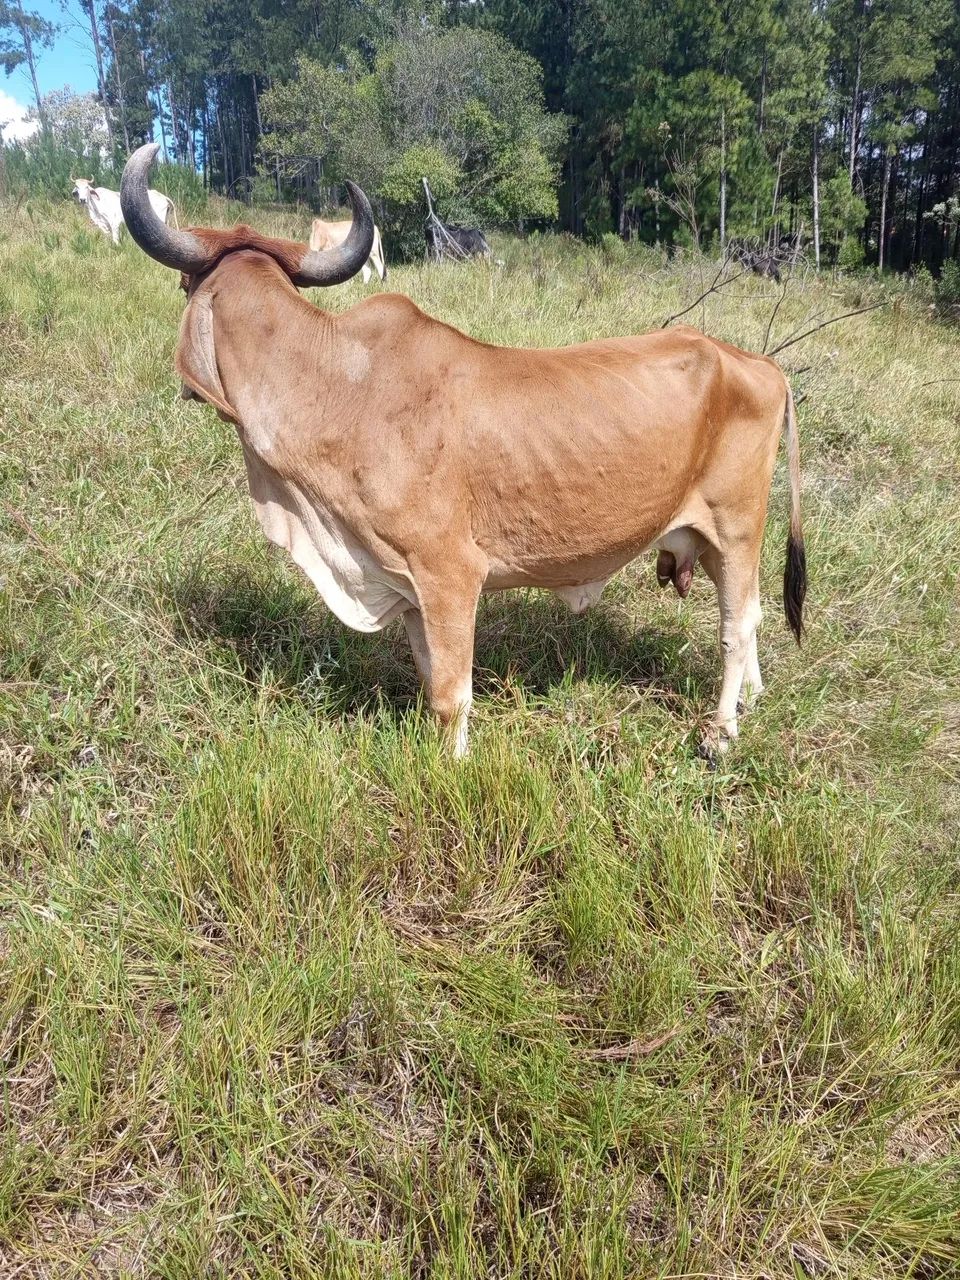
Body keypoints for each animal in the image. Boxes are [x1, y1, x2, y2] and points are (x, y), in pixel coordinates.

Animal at [120, 142, 805, 759]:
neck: (336, 386)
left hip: (736, 527)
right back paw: (751, 700)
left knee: (737, 625)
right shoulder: (407, 589)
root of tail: (760, 364)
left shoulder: (449, 573)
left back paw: (722, 731)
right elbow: (429, 681)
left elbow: (452, 695)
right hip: (706, 538)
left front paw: (453, 766)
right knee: (752, 616)